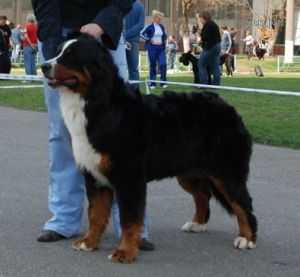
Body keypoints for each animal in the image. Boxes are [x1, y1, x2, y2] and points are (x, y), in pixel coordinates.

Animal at [41, 34, 258, 264]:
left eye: (71, 55)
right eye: (58, 51)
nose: (44, 66)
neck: (99, 105)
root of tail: (229, 108)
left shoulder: (129, 177)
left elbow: (129, 219)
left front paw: (125, 252)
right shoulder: (94, 175)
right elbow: (96, 214)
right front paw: (88, 242)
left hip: (226, 172)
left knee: (243, 204)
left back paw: (246, 238)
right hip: (188, 172)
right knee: (202, 195)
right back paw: (197, 224)